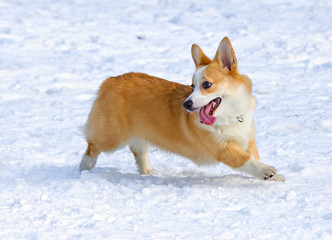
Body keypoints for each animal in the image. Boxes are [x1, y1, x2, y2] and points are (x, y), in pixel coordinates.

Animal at [79, 36, 284, 181]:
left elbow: (254, 156)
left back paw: (148, 172)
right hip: (112, 137)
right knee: (92, 148)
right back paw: (84, 170)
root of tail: (110, 81)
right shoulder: (222, 149)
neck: (231, 115)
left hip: (140, 133)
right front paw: (266, 170)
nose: (187, 104)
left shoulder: (248, 140)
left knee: (139, 151)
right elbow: (246, 160)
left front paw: (276, 177)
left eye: (206, 84)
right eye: (192, 86)